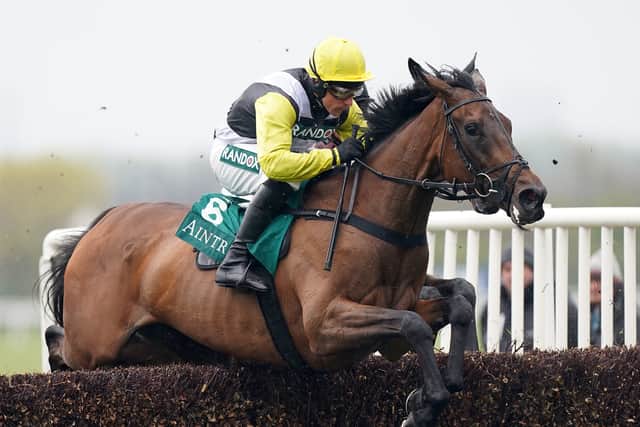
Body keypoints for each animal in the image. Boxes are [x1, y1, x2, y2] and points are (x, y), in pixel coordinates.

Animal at [40, 56, 546, 426]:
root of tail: (99, 225)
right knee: (55, 341)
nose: (532, 195)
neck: (368, 218)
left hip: (153, 345)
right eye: (473, 128)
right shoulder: (323, 326)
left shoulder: (398, 304)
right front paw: (426, 401)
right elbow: (413, 326)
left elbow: (459, 297)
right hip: (95, 343)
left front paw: (439, 390)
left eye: (508, 122)